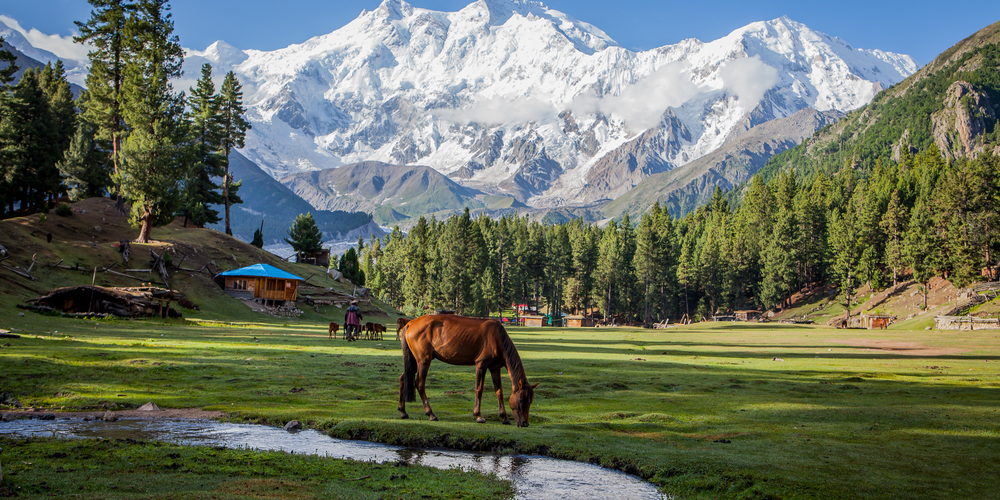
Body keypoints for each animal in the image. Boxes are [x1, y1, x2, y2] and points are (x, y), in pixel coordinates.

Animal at [400, 316, 540, 426]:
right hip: (423, 360)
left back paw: (403, 411)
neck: (498, 338)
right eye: (521, 400)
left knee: (403, 378)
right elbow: (479, 390)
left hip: (414, 360)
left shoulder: (495, 368)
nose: (525, 423)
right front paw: (478, 415)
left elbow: (499, 392)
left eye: (530, 401)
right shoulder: (481, 365)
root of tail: (410, 323)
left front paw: (504, 417)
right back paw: (431, 414)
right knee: (419, 383)